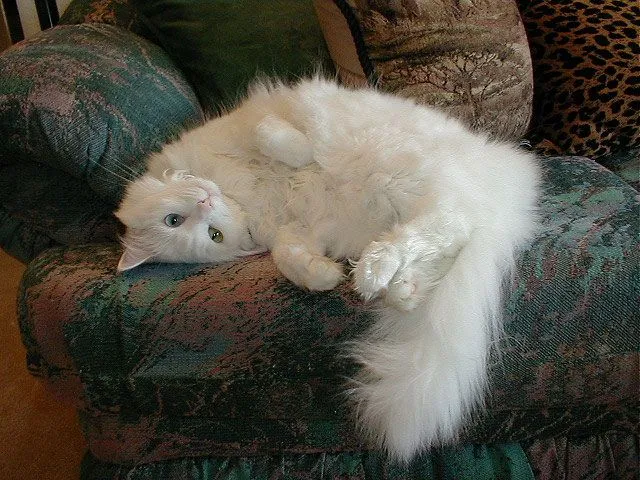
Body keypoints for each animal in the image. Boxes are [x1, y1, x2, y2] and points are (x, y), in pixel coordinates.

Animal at [114, 78, 540, 462]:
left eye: (174, 220)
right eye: (209, 235)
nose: (205, 202)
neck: (243, 198)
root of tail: (509, 192)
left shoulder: (263, 132)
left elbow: (278, 138)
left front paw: (276, 138)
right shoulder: (295, 232)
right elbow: (291, 259)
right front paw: (325, 276)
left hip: (403, 171)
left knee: (449, 223)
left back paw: (374, 272)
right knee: (445, 235)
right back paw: (398, 288)